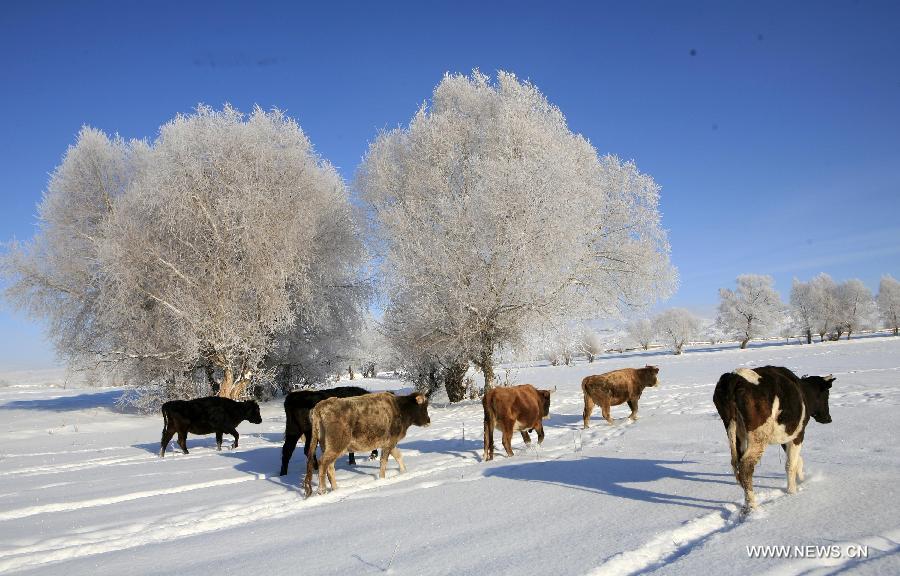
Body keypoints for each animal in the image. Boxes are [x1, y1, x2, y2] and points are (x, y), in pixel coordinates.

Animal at [712, 366, 832, 510]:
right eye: (826, 394)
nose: (828, 418)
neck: (804, 392)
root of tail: (734, 377)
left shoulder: (786, 437)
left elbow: (797, 460)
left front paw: (801, 479)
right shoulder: (799, 433)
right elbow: (790, 464)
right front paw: (792, 491)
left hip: (735, 433)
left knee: (738, 466)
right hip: (759, 437)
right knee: (746, 466)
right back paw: (752, 506)